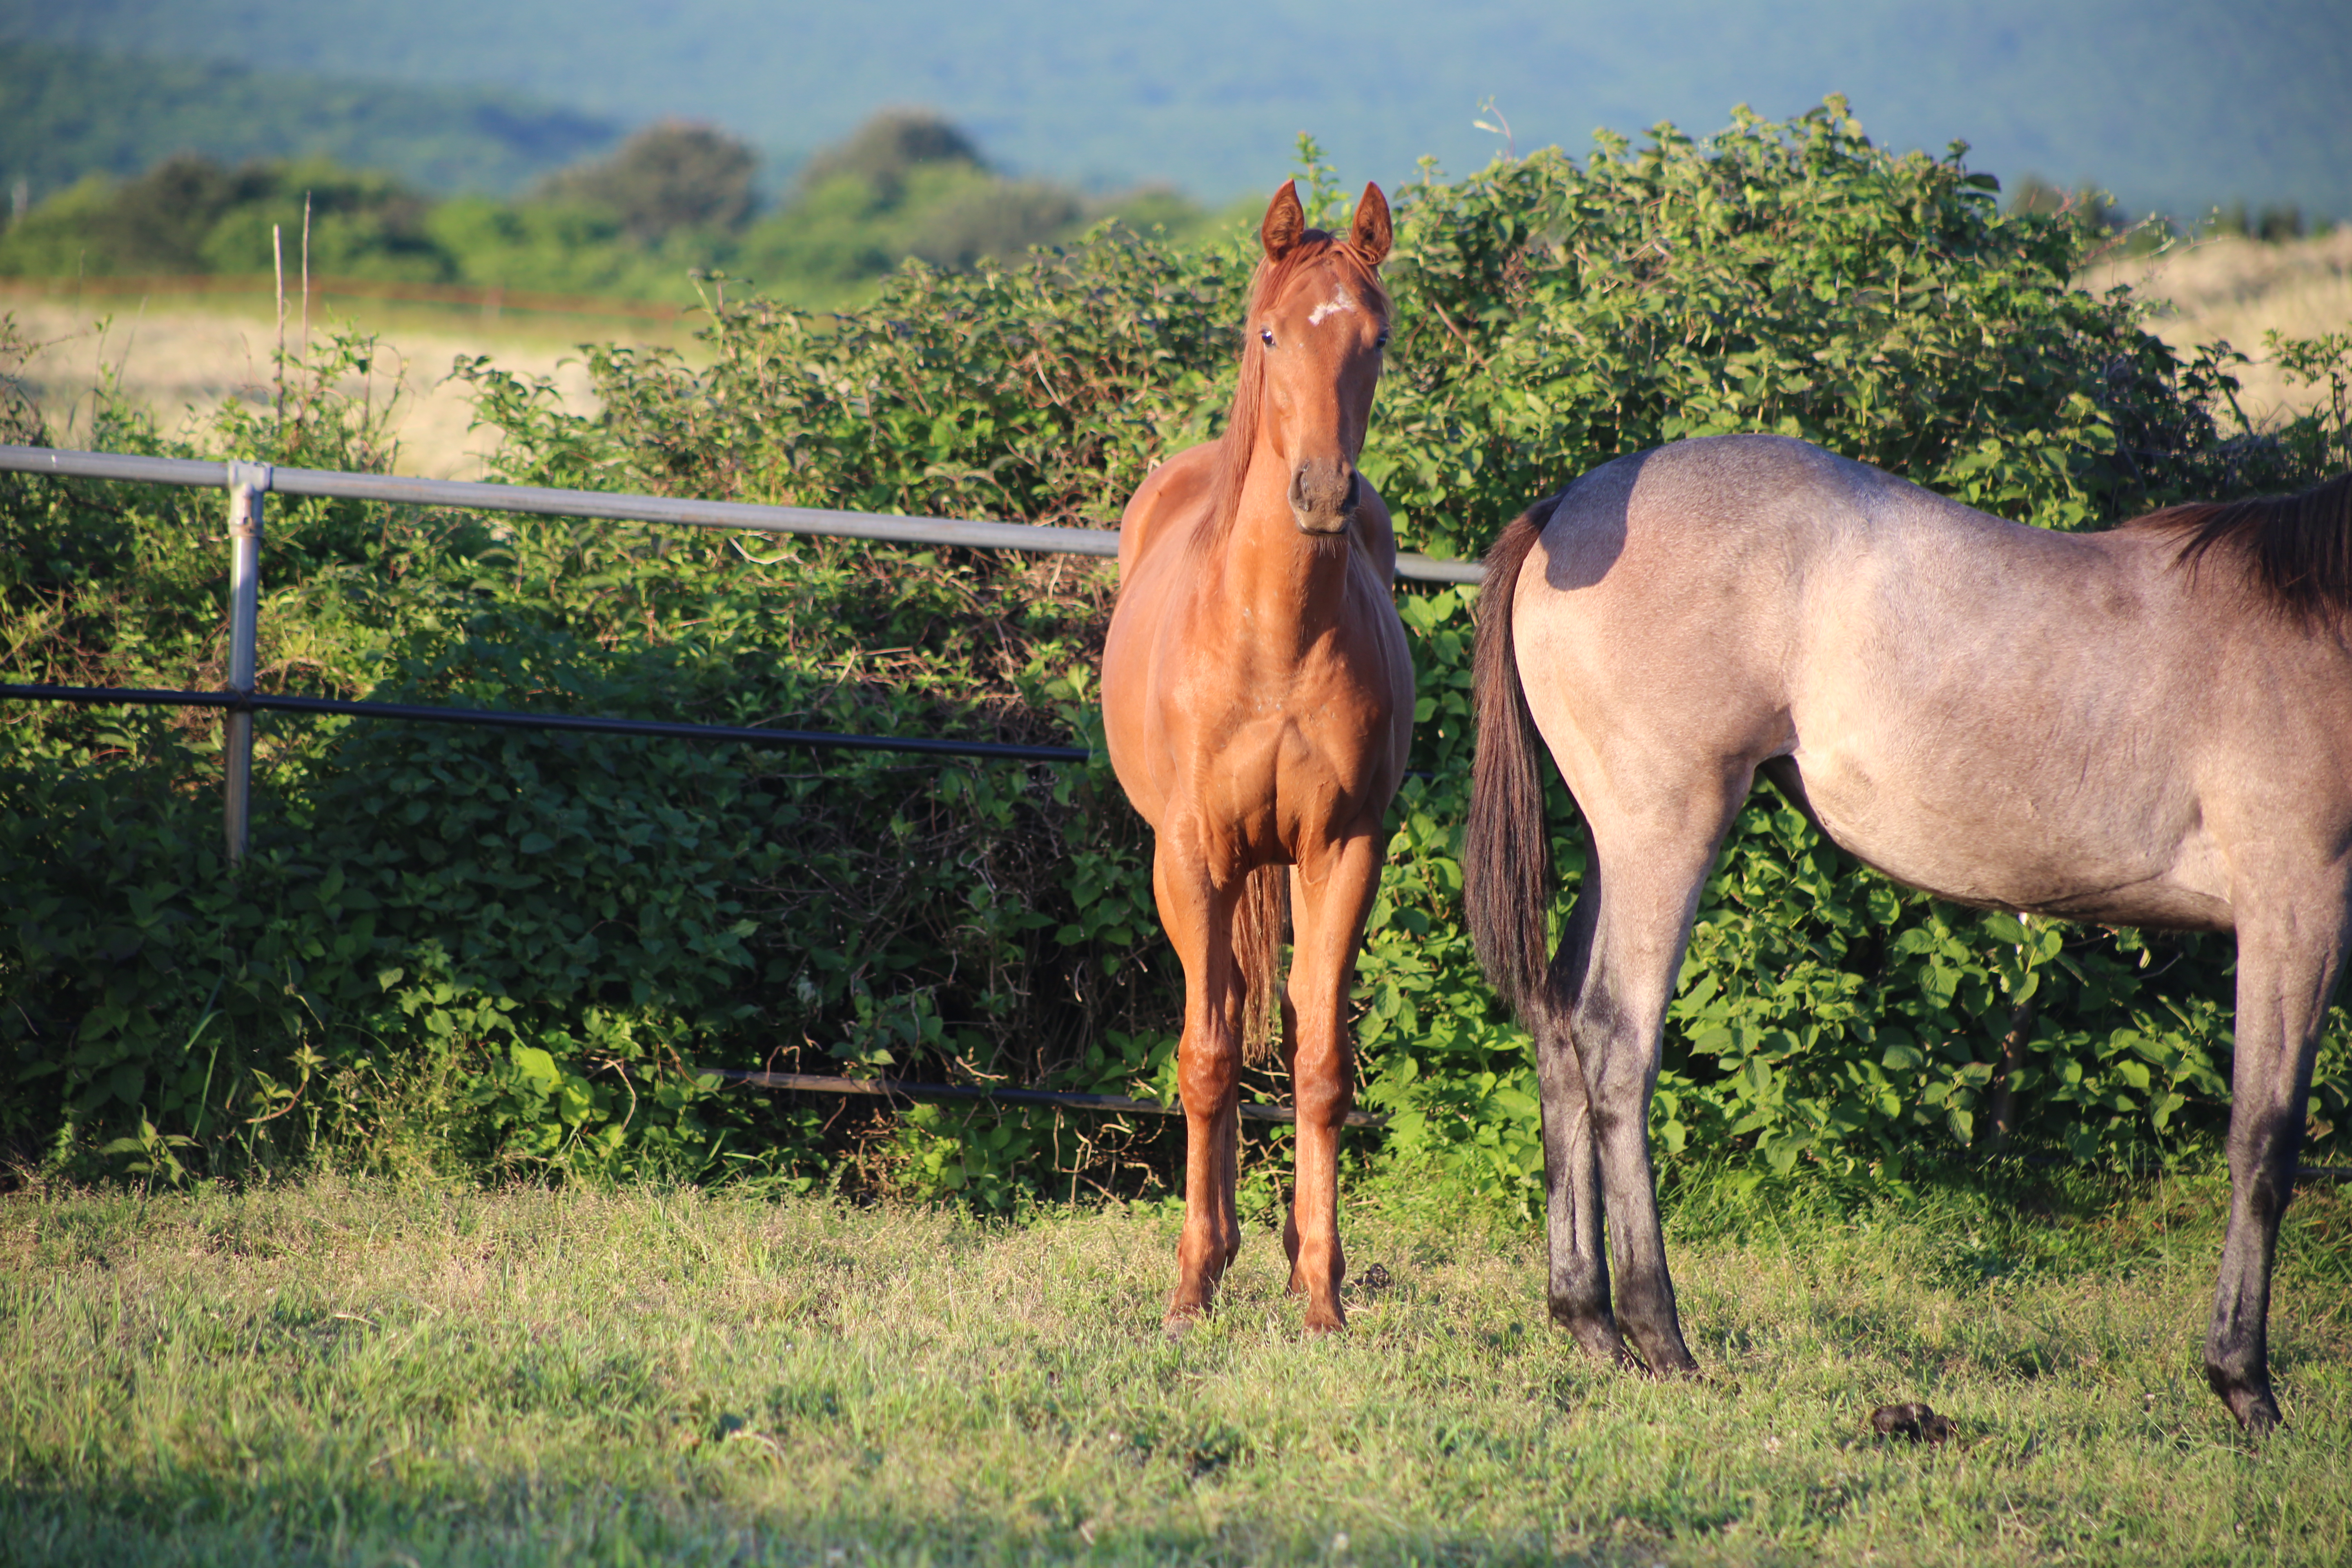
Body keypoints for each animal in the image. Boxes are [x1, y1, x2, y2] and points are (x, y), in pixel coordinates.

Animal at [1468, 432, 2352, 1439]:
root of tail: (1570, 506)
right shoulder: (2296, 906)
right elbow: (2265, 1146)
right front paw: (2246, 1385)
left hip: (1611, 841)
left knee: (1558, 1027)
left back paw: (1591, 1322)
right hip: (1662, 830)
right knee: (1616, 1044)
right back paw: (1662, 1338)